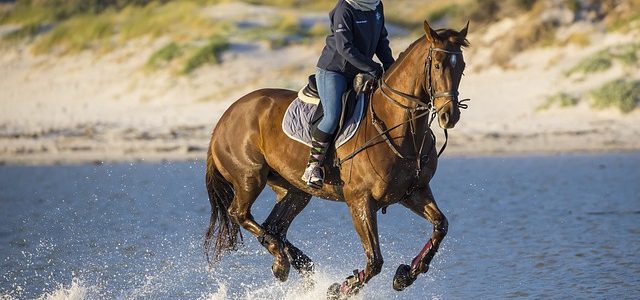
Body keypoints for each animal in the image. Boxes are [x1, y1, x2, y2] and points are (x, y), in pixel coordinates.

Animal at [205, 20, 470, 298]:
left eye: (461, 67)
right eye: (438, 65)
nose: (449, 116)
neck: (399, 128)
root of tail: (224, 118)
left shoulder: (413, 192)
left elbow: (441, 226)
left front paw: (405, 275)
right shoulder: (360, 201)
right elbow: (374, 261)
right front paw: (341, 288)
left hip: (294, 191)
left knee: (274, 226)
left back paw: (297, 264)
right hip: (249, 178)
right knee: (240, 213)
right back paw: (282, 262)